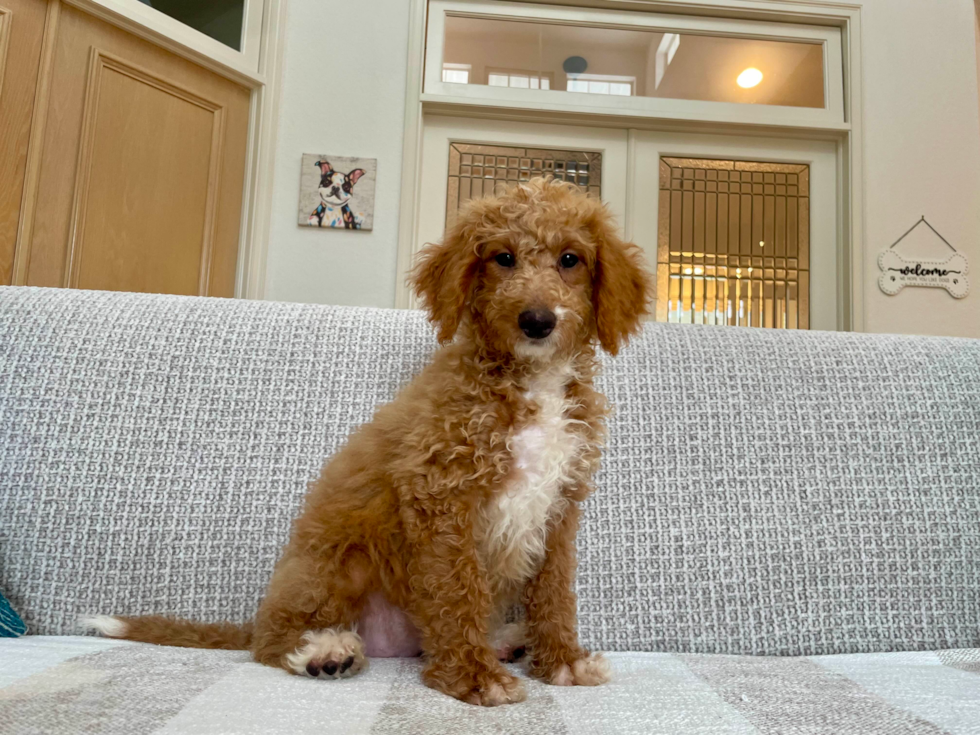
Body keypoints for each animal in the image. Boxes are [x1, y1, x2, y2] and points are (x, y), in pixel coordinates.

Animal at [84, 178, 652, 708]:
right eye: (503, 258)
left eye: (570, 259)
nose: (537, 320)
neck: (531, 381)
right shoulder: (439, 493)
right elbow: (458, 590)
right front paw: (474, 677)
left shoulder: (558, 506)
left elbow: (554, 592)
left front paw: (562, 661)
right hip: (339, 565)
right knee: (270, 641)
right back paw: (323, 650)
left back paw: (505, 640)